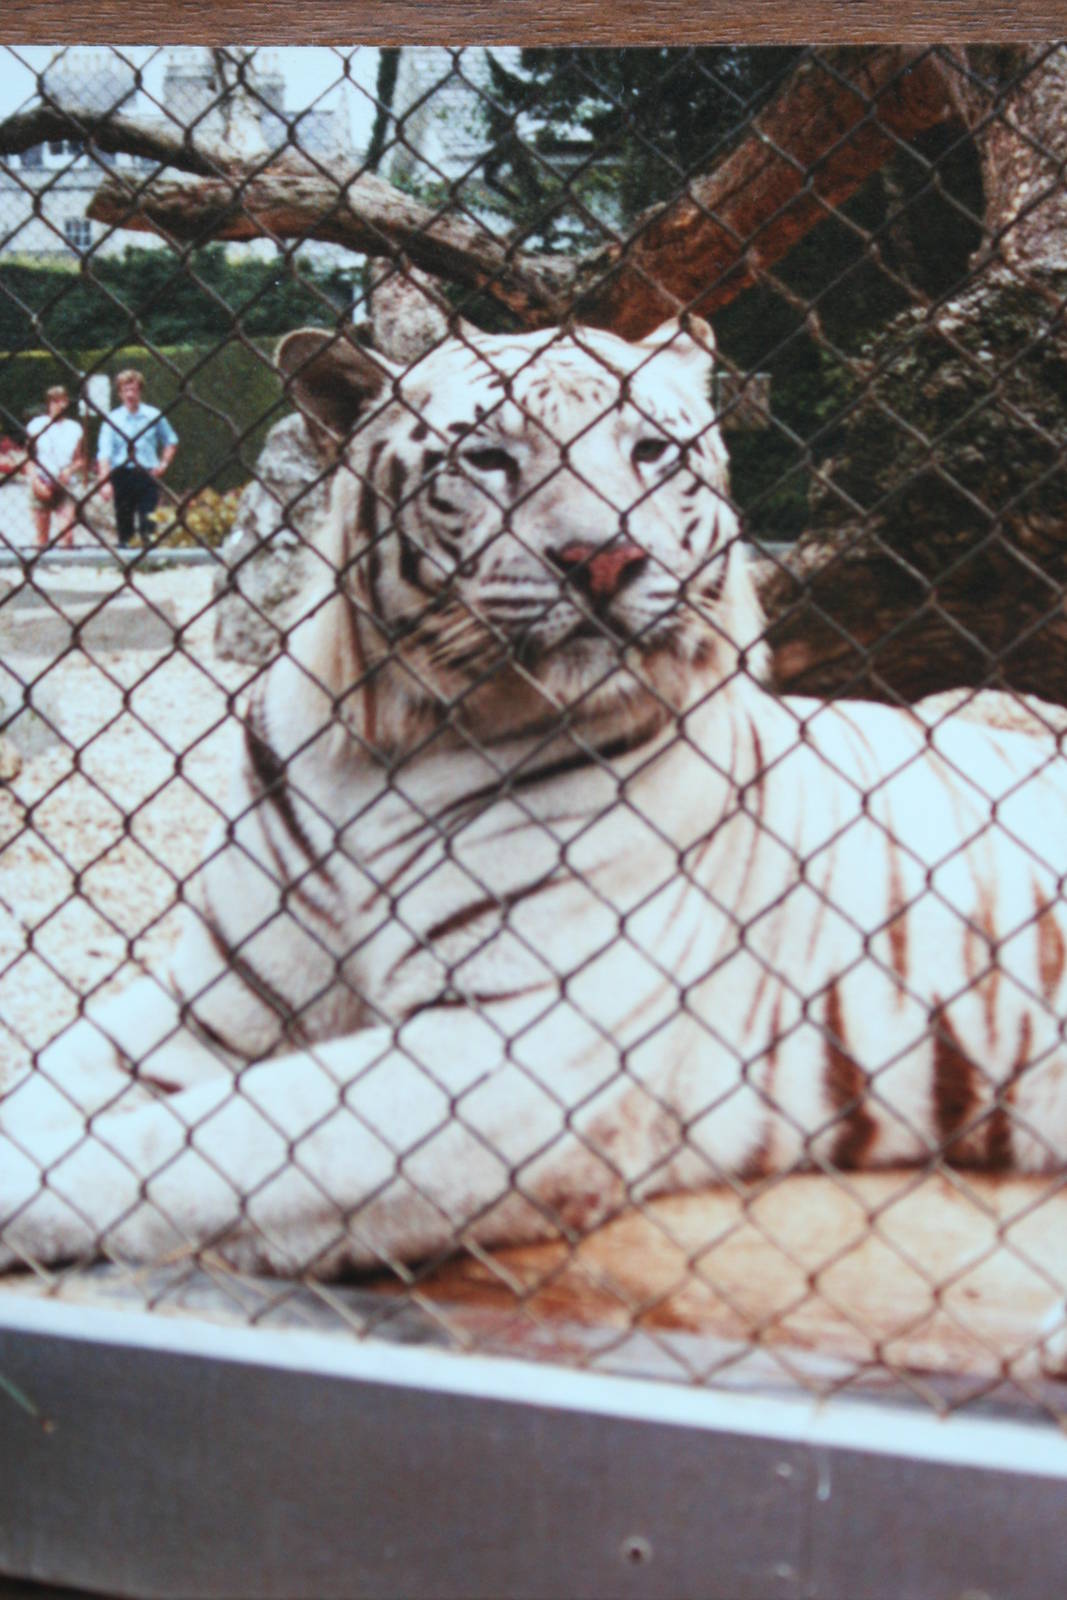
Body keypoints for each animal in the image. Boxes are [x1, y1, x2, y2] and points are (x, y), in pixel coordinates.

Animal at [2, 314, 1067, 1368]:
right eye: (488, 458)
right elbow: (58, 1085)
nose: (604, 559)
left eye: (650, 450)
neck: (392, 741)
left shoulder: (518, 1048)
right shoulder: (221, 1003)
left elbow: (186, 1147)